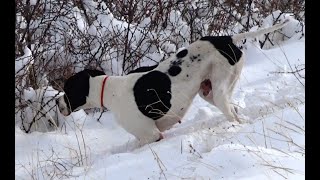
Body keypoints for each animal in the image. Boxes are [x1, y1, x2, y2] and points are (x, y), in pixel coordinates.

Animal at [57, 19, 290, 143]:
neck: (109, 90)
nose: (57, 103)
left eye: (67, 90)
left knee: (233, 115)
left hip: (220, 92)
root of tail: (226, 38)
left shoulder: (152, 136)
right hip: (210, 92)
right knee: (234, 110)